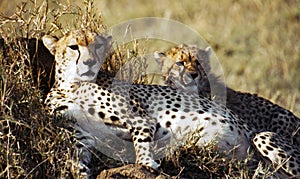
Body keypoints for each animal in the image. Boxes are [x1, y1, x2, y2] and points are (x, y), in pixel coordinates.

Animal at [42, 30, 253, 178]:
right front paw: (80, 171)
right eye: (73, 47)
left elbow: (141, 140)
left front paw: (146, 162)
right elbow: (77, 159)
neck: (74, 84)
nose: (90, 62)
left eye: (99, 46)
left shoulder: (142, 120)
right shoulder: (82, 134)